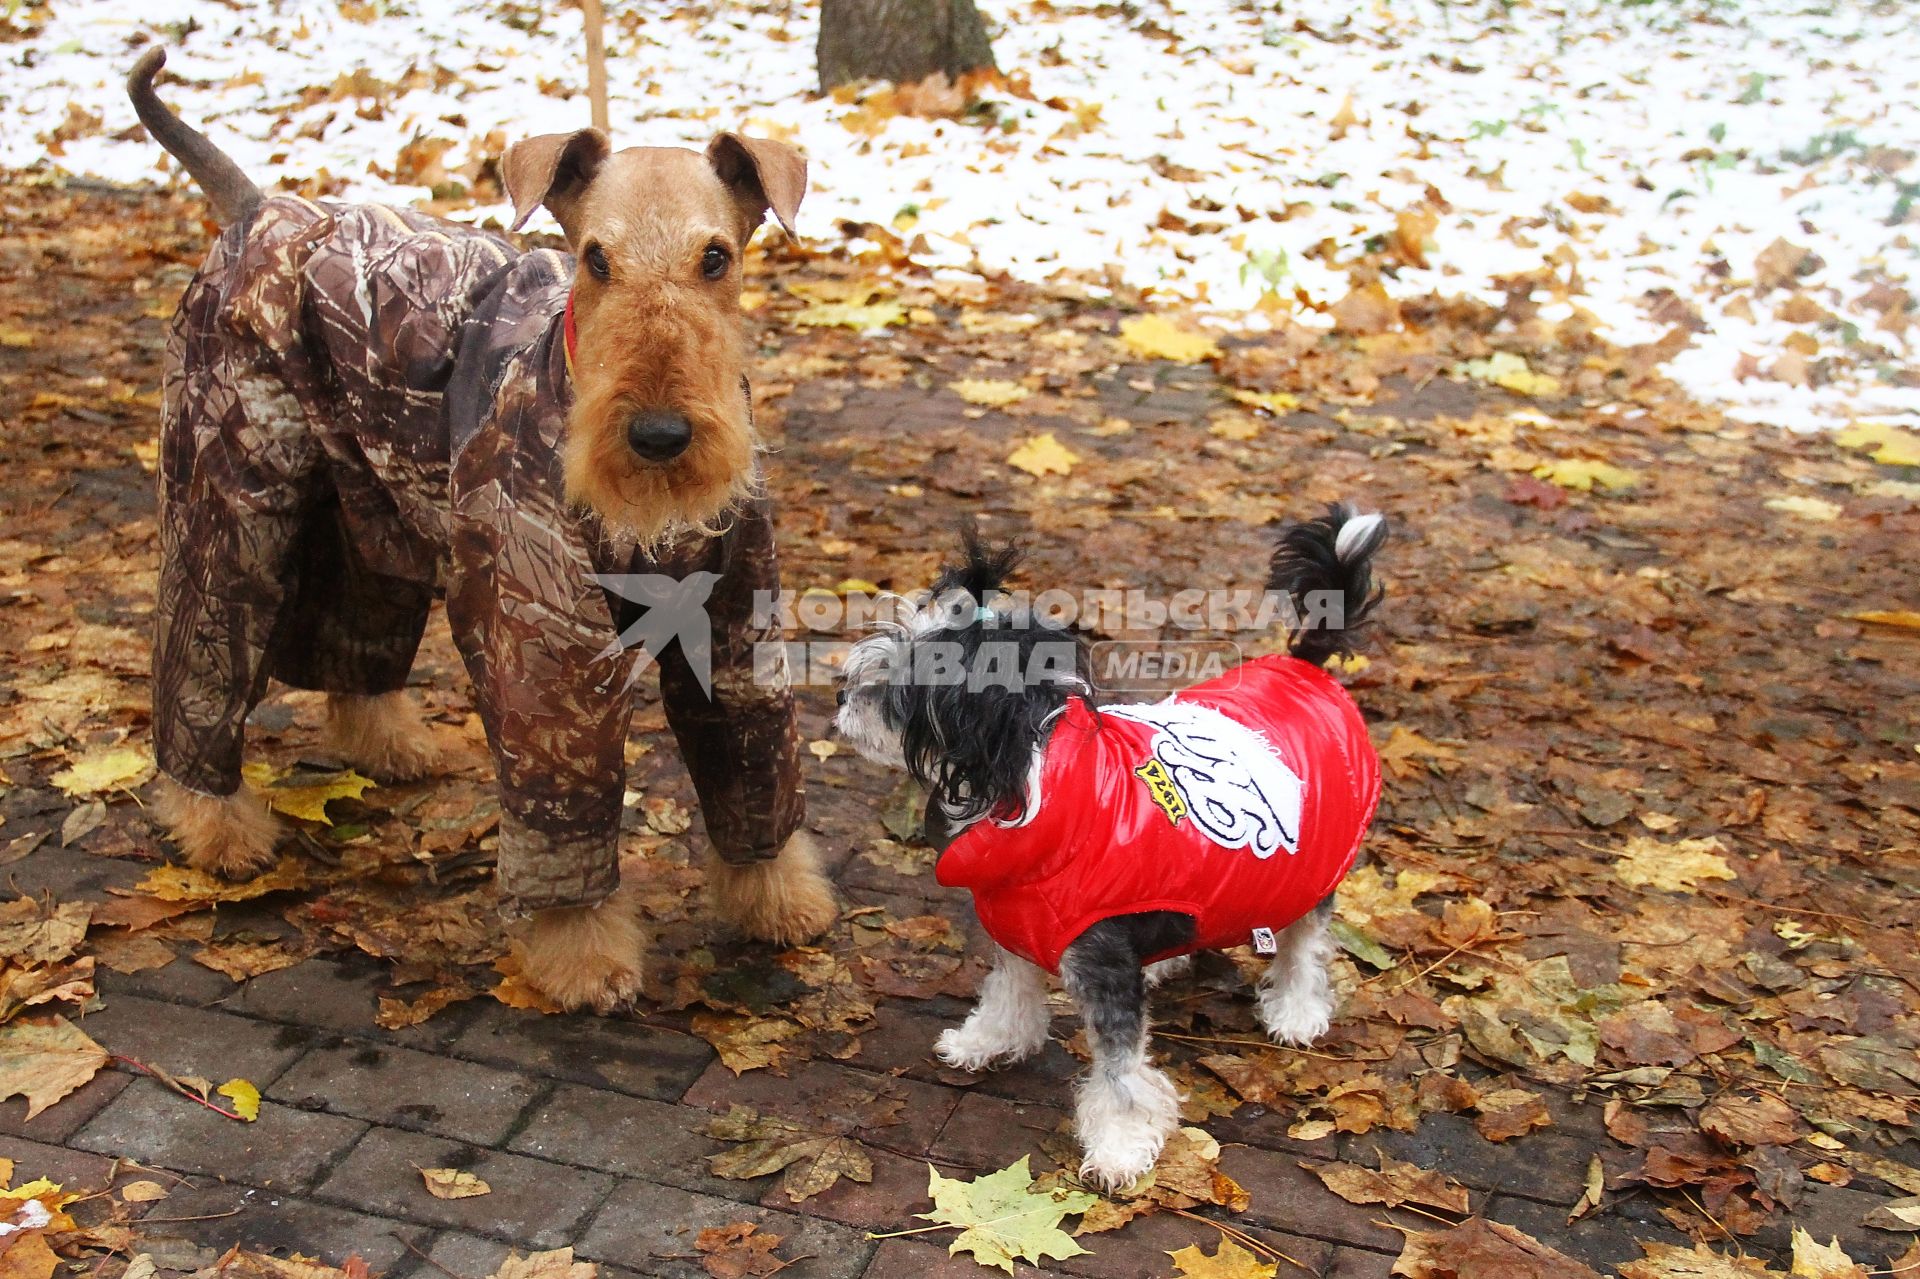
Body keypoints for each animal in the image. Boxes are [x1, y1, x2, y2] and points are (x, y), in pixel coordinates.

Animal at [833, 503, 1390, 1182]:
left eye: (901, 684)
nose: (841, 694)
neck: (1037, 789)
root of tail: (1304, 665)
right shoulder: (1019, 928)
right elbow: (1008, 993)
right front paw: (988, 1039)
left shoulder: (1100, 964)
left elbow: (1121, 1073)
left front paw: (1121, 1145)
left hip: (1312, 868)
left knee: (1305, 942)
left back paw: (1297, 1009)